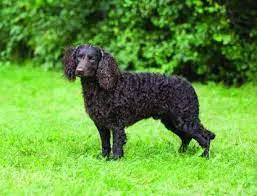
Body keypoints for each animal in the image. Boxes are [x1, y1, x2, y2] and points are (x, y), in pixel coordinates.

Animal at [62, 44, 214, 159]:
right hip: (172, 121)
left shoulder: (117, 124)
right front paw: (103, 158)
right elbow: (105, 143)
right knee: (187, 138)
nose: (79, 70)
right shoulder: (101, 124)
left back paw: (204, 157)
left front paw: (115, 159)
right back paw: (181, 154)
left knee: (205, 136)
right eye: (79, 57)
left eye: (92, 59)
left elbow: (117, 143)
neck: (101, 87)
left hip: (185, 119)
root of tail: (189, 84)